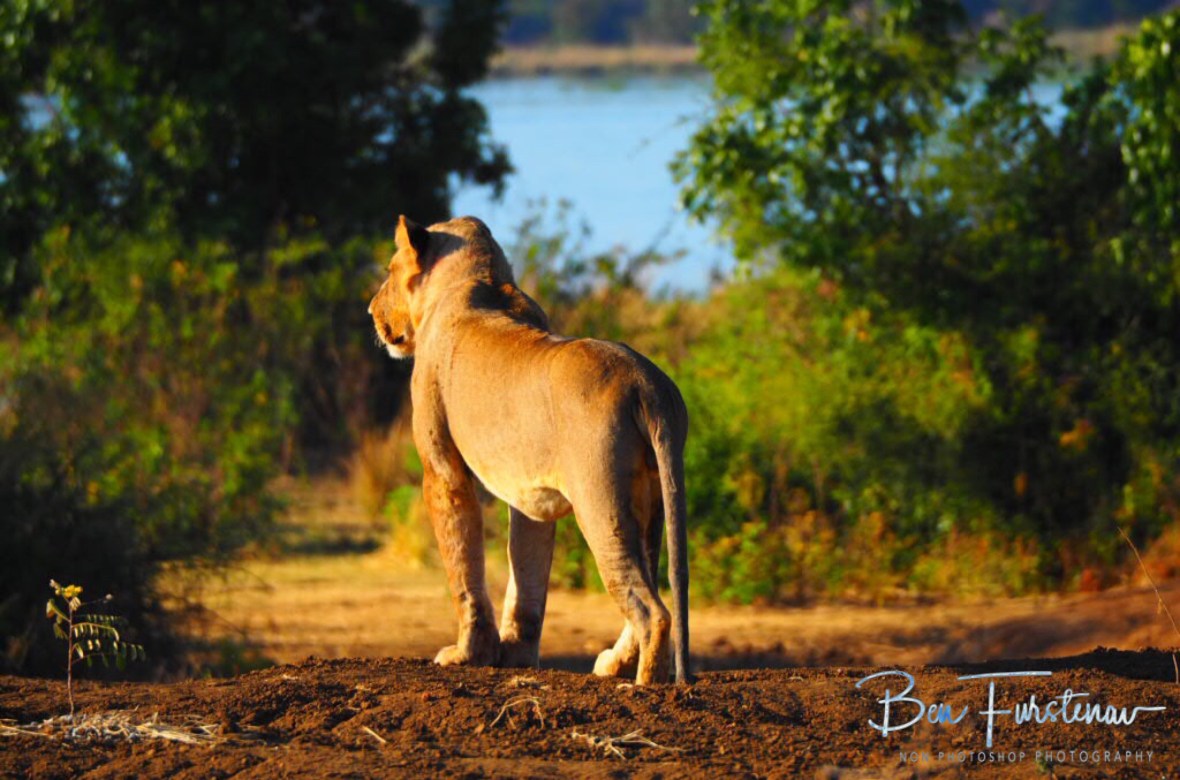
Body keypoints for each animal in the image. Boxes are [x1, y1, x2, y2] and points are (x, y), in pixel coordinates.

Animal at [368, 215, 690, 685]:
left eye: (390, 270)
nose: (370, 310)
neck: (478, 277)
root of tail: (646, 381)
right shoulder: (532, 496)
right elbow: (526, 575)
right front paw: (517, 654)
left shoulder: (441, 469)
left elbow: (463, 565)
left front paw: (468, 653)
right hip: (651, 501)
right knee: (650, 582)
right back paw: (613, 665)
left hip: (601, 503)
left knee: (653, 610)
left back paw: (644, 684)